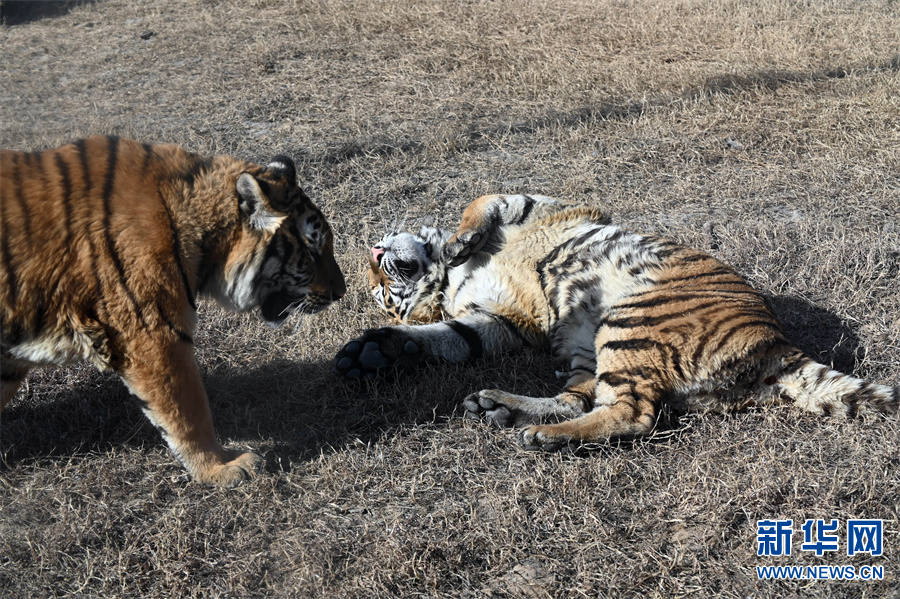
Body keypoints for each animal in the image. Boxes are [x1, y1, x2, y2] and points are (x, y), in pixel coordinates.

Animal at [334, 195, 896, 452]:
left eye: (378, 276)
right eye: (387, 296)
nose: (377, 251)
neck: (448, 281)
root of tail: (779, 345)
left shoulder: (536, 202)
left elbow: (483, 203)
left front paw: (458, 240)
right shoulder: (500, 322)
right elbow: (452, 337)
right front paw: (377, 351)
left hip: (628, 319)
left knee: (631, 414)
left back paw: (538, 433)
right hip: (595, 341)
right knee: (590, 401)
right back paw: (505, 411)